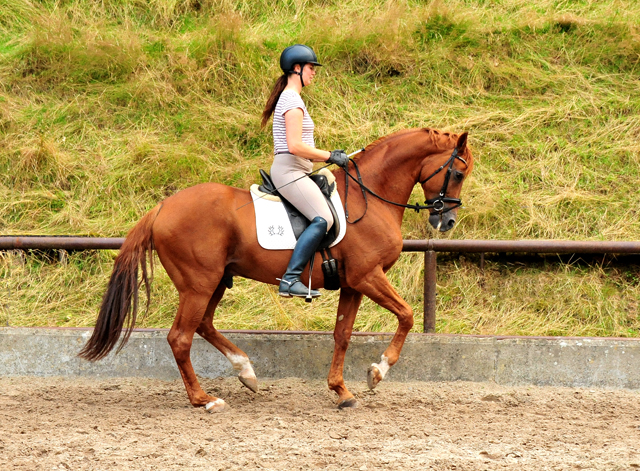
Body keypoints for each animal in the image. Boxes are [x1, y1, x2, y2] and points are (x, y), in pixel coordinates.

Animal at [77, 128, 472, 412]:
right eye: (457, 172)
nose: (447, 221)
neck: (369, 196)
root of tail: (162, 208)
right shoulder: (367, 276)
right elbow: (406, 315)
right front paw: (378, 371)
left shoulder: (352, 284)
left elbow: (342, 334)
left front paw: (341, 392)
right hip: (199, 283)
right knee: (180, 338)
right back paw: (205, 399)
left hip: (215, 281)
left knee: (203, 325)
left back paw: (246, 372)